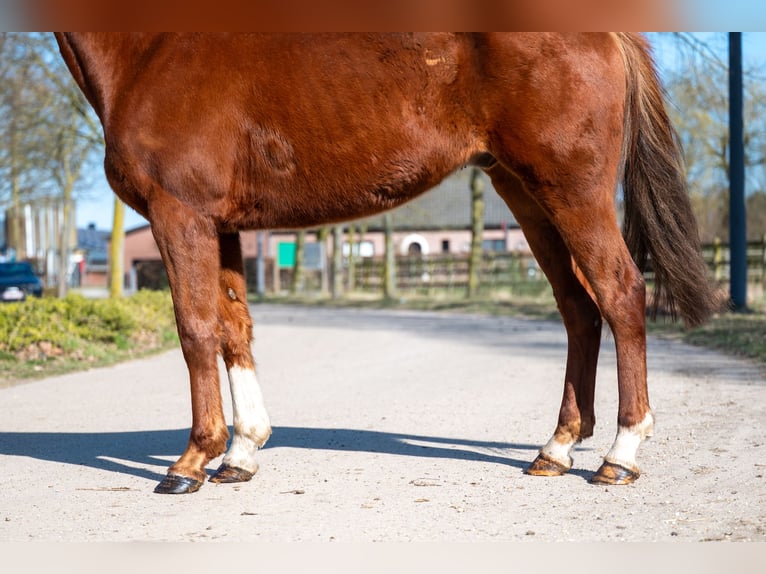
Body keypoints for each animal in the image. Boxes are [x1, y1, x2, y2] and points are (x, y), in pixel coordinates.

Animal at [57, 33, 716, 496]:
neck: (152, 49)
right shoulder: (222, 225)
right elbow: (233, 329)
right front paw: (241, 454)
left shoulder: (181, 214)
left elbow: (195, 329)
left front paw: (191, 461)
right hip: (525, 192)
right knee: (580, 308)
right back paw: (555, 449)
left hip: (571, 191)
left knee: (621, 292)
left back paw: (620, 455)